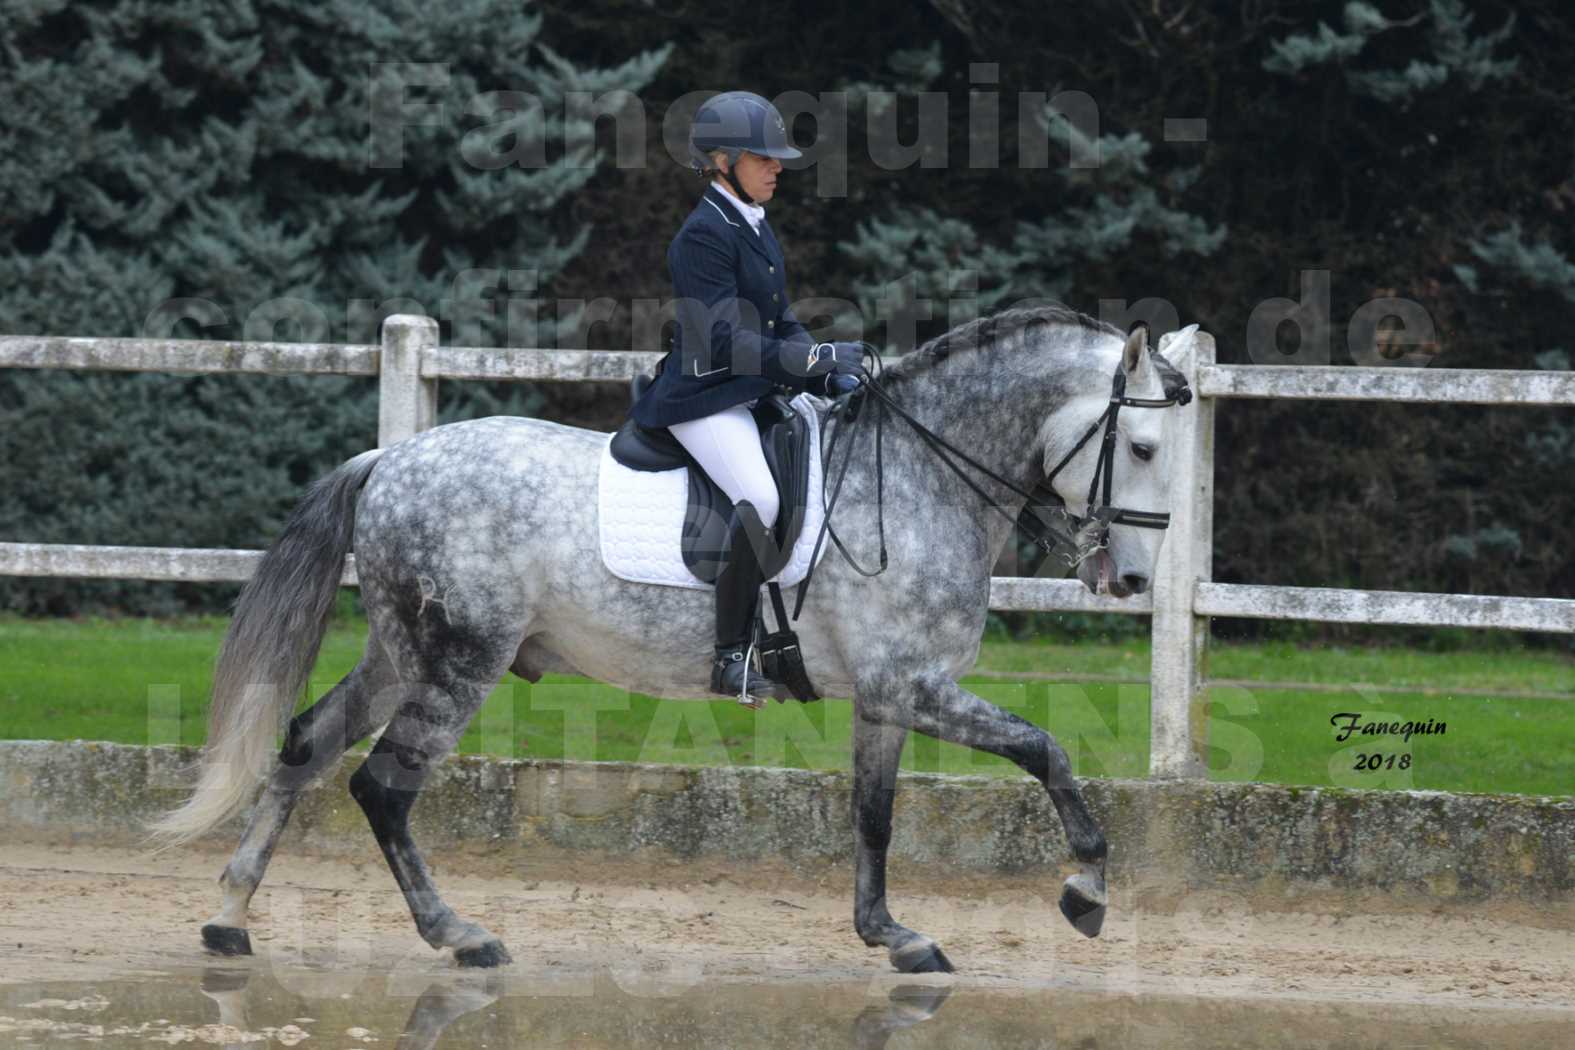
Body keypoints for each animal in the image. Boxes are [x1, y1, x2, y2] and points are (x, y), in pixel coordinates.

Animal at [153, 303, 1197, 976]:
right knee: (381, 787)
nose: (1130, 581)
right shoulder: (914, 684)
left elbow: (874, 814)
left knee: (305, 744)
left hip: (403, 654)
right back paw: (460, 937)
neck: (918, 474)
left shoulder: (886, 698)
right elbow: (1044, 750)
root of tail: (390, 457)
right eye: (1142, 449)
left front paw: (891, 936)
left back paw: (228, 918)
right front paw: (1085, 892)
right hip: (461, 663)